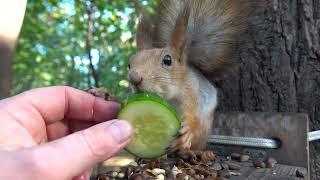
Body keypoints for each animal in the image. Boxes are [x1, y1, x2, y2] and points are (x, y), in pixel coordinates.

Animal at [128, 0, 252, 151]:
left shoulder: (192, 92)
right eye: (129, 63)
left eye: (167, 60)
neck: (169, 97)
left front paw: (189, 130)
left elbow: (193, 116)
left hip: (205, 127)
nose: (133, 78)